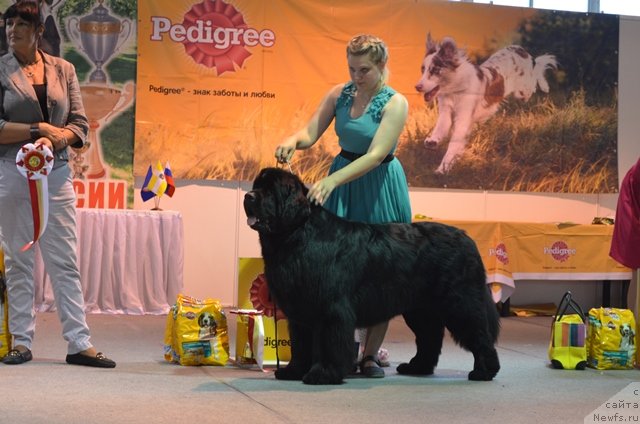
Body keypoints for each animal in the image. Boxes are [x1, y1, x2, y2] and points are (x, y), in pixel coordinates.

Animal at [245, 168, 500, 384]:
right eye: (256, 186)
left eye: (270, 191)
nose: (248, 196)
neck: (298, 234)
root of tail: (467, 238)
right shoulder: (300, 311)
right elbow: (300, 344)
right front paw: (294, 371)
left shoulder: (330, 309)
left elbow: (327, 343)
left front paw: (323, 374)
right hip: (420, 308)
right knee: (429, 337)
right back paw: (417, 367)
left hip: (460, 303)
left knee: (479, 333)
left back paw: (484, 371)